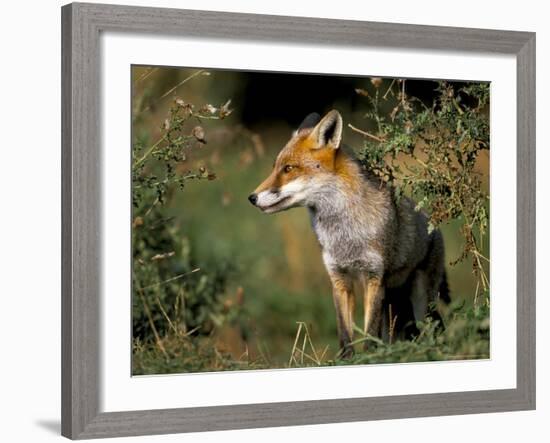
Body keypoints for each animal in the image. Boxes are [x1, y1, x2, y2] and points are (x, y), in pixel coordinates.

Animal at [250, 109, 452, 360]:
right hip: (394, 304)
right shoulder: (339, 278)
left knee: (434, 328)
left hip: (422, 301)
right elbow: (345, 333)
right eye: (275, 167)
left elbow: (369, 334)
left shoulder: (374, 278)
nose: (252, 197)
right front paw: (346, 360)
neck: (345, 237)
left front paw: (369, 358)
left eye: (288, 169)